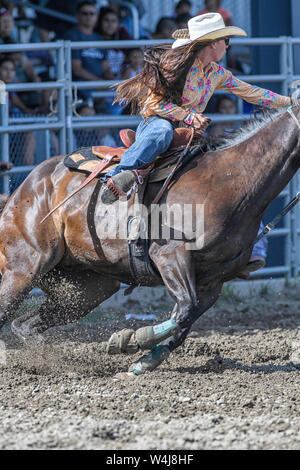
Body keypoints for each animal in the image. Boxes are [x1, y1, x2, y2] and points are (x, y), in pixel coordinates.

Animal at [0, 104, 300, 376]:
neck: (230, 181)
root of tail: (25, 188)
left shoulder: (213, 281)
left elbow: (185, 320)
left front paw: (144, 360)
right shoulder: (170, 257)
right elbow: (184, 310)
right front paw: (131, 340)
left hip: (88, 289)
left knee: (24, 324)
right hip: (23, 271)